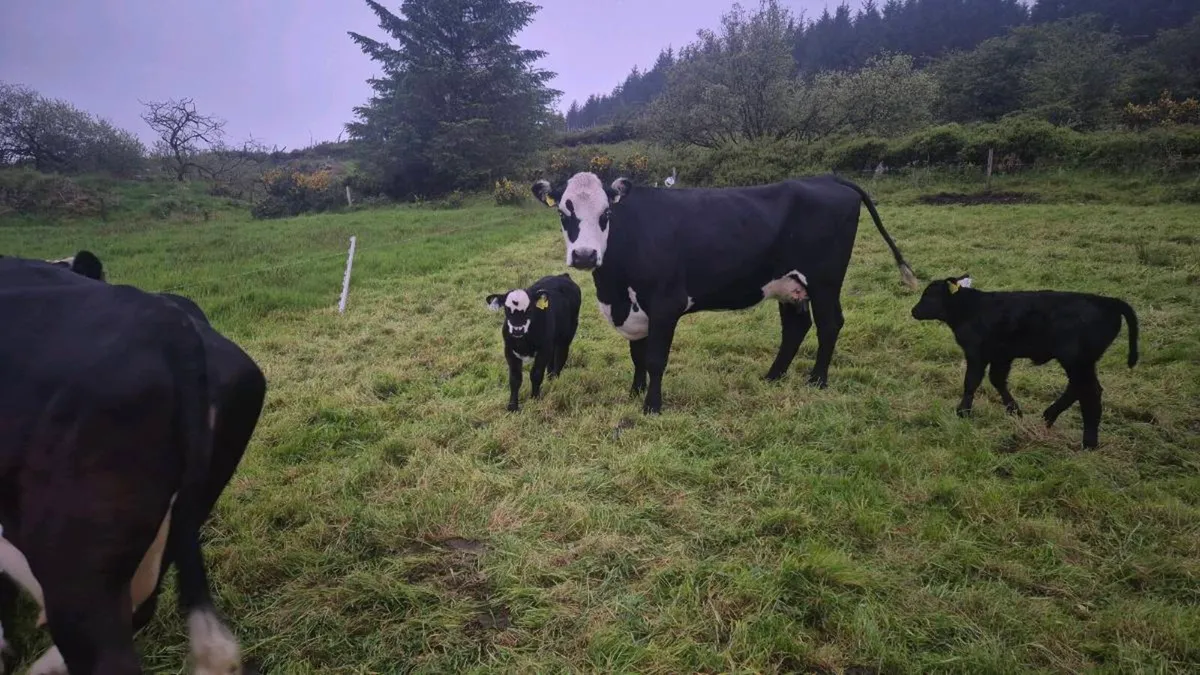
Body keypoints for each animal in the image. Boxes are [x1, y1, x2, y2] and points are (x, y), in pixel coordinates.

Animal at [486, 273, 583, 412]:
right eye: (507, 308)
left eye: (529, 308)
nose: (517, 329)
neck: (523, 341)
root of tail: (562, 276)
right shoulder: (509, 350)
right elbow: (515, 378)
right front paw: (512, 406)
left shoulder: (543, 349)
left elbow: (536, 374)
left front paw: (535, 399)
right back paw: (550, 378)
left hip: (566, 336)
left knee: (560, 357)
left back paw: (554, 382)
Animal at [530, 172, 918, 413]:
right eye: (565, 213)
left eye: (606, 213)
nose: (584, 255)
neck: (614, 287)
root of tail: (827, 178)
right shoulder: (635, 308)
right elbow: (637, 355)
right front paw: (634, 392)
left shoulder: (665, 303)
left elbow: (655, 358)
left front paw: (651, 406)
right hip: (790, 284)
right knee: (796, 328)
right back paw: (772, 377)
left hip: (824, 281)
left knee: (829, 325)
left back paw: (817, 380)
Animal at [910, 274, 1139, 449]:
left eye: (929, 295)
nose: (914, 311)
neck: (971, 308)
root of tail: (1109, 302)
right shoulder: (1001, 356)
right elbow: (997, 381)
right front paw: (1014, 411)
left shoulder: (976, 354)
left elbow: (971, 382)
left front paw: (963, 412)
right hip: (1081, 362)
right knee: (1079, 388)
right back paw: (1049, 416)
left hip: (1077, 361)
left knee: (1089, 391)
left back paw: (1089, 442)